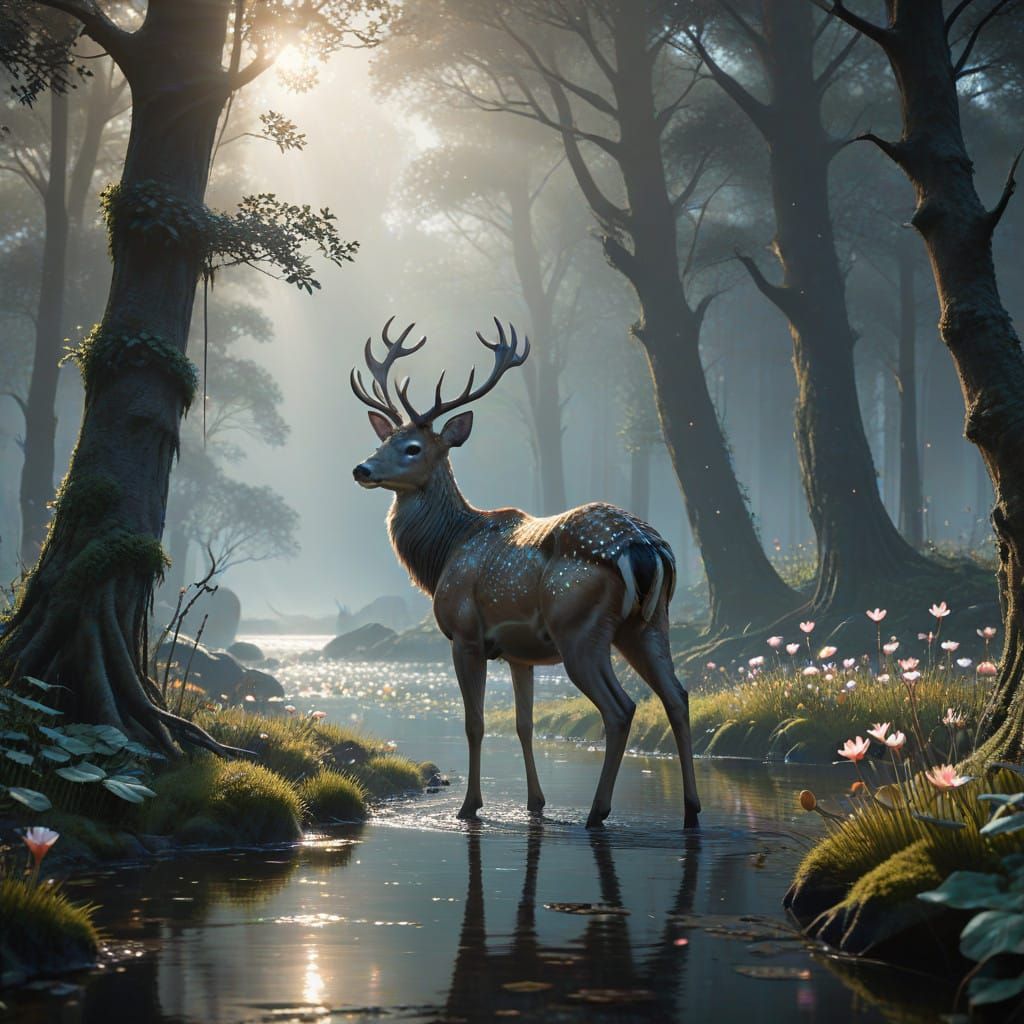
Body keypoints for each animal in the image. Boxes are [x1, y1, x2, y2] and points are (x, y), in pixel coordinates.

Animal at [351, 318, 701, 829]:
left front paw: (470, 806)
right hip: (650, 623)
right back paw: (691, 812)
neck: (446, 553)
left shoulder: (465, 633)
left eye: (412, 447)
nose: (362, 468)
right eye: (382, 440)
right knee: (677, 696)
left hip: (580, 628)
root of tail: (644, 547)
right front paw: (536, 802)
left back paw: (597, 812)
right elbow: (522, 723)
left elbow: (475, 722)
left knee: (621, 709)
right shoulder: (520, 652)